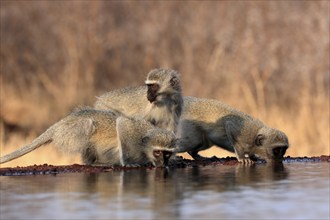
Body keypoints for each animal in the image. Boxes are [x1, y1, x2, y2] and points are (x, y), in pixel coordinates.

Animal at [0, 107, 177, 167]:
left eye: (166, 154)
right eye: (157, 152)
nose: (162, 163)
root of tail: (60, 124)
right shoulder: (132, 132)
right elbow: (121, 124)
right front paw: (128, 163)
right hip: (68, 133)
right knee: (87, 125)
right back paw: (93, 163)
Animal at [93, 87, 288, 163]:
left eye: (283, 150)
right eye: (277, 150)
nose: (280, 158)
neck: (256, 137)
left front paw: (252, 156)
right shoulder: (243, 131)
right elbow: (230, 126)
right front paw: (242, 158)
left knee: (201, 142)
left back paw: (196, 155)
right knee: (188, 142)